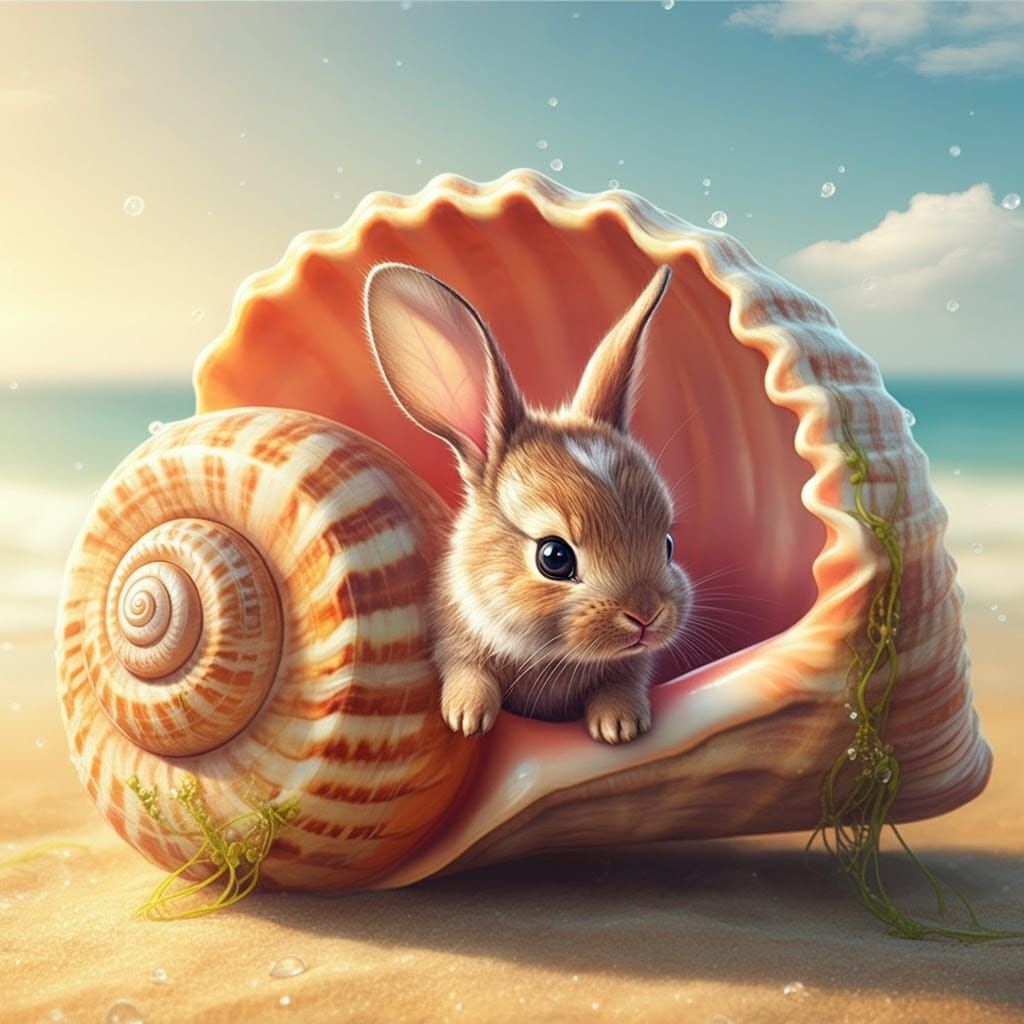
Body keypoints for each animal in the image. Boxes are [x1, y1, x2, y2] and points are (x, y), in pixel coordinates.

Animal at [363, 261, 693, 744]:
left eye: (667, 544)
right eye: (554, 557)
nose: (646, 615)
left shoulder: (631, 665)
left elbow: (623, 680)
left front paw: (620, 725)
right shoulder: (452, 637)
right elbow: (465, 669)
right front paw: (467, 716)